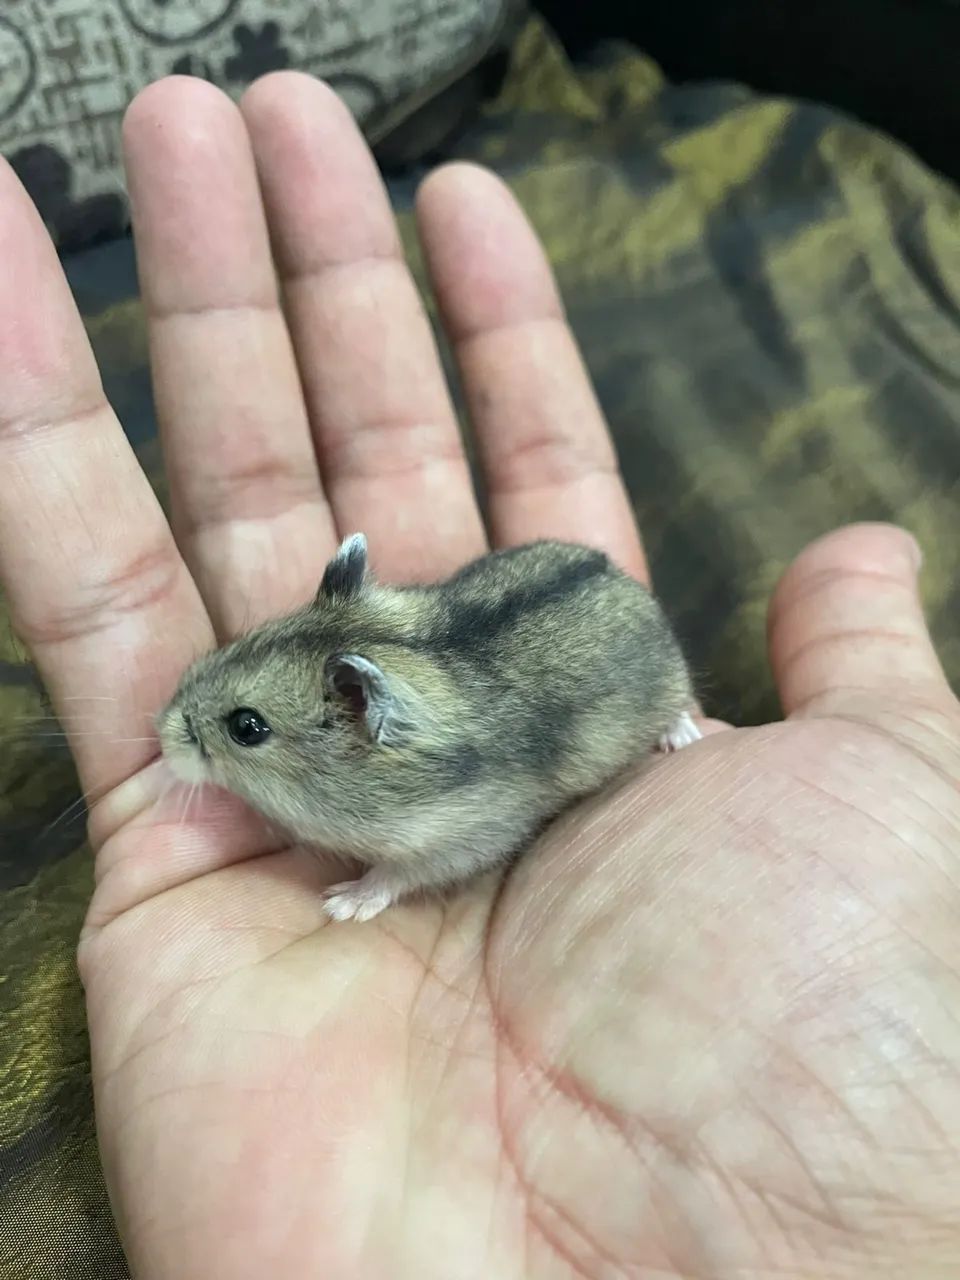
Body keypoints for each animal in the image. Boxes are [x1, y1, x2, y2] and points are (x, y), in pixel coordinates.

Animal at [157, 533, 701, 922]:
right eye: (240, 642)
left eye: (247, 727)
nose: (161, 736)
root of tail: (624, 577)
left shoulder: (465, 838)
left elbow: (395, 872)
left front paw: (341, 904)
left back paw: (682, 738)